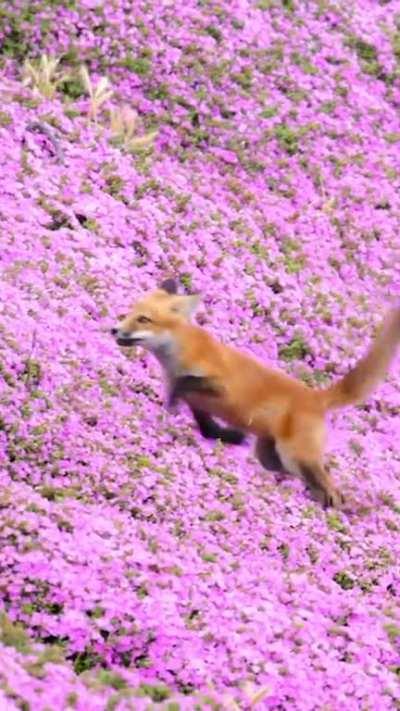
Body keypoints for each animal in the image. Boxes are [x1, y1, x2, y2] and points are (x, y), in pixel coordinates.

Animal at [111, 278, 400, 508]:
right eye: (131, 311)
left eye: (144, 319)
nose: (114, 329)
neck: (180, 354)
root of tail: (315, 396)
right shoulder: (199, 404)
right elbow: (207, 427)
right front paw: (228, 436)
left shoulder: (220, 386)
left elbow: (184, 385)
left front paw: (171, 400)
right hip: (274, 456)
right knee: (305, 476)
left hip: (297, 455)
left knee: (332, 488)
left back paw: (335, 507)